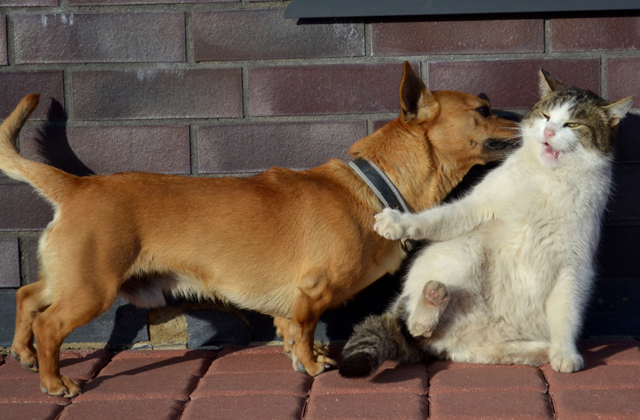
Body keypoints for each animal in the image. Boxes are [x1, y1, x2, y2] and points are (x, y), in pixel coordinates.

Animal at [2, 60, 516, 396]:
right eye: (484, 110)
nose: (525, 118)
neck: (374, 186)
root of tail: (76, 186)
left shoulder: (293, 307)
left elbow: (290, 330)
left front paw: (304, 358)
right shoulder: (311, 294)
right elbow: (305, 331)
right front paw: (310, 366)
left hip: (71, 278)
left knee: (26, 296)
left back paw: (23, 355)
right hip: (92, 289)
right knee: (49, 325)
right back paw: (54, 380)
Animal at [340, 69, 636, 378]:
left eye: (573, 123)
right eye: (545, 116)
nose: (549, 132)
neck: (549, 179)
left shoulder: (574, 265)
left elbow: (567, 313)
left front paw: (565, 353)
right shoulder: (477, 208)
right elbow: (435, 218)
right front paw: (397, 222)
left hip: (486, 337)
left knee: (467, 349)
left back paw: (536, 351)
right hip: (464, 249)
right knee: (414, 328)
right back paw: (432, 299)